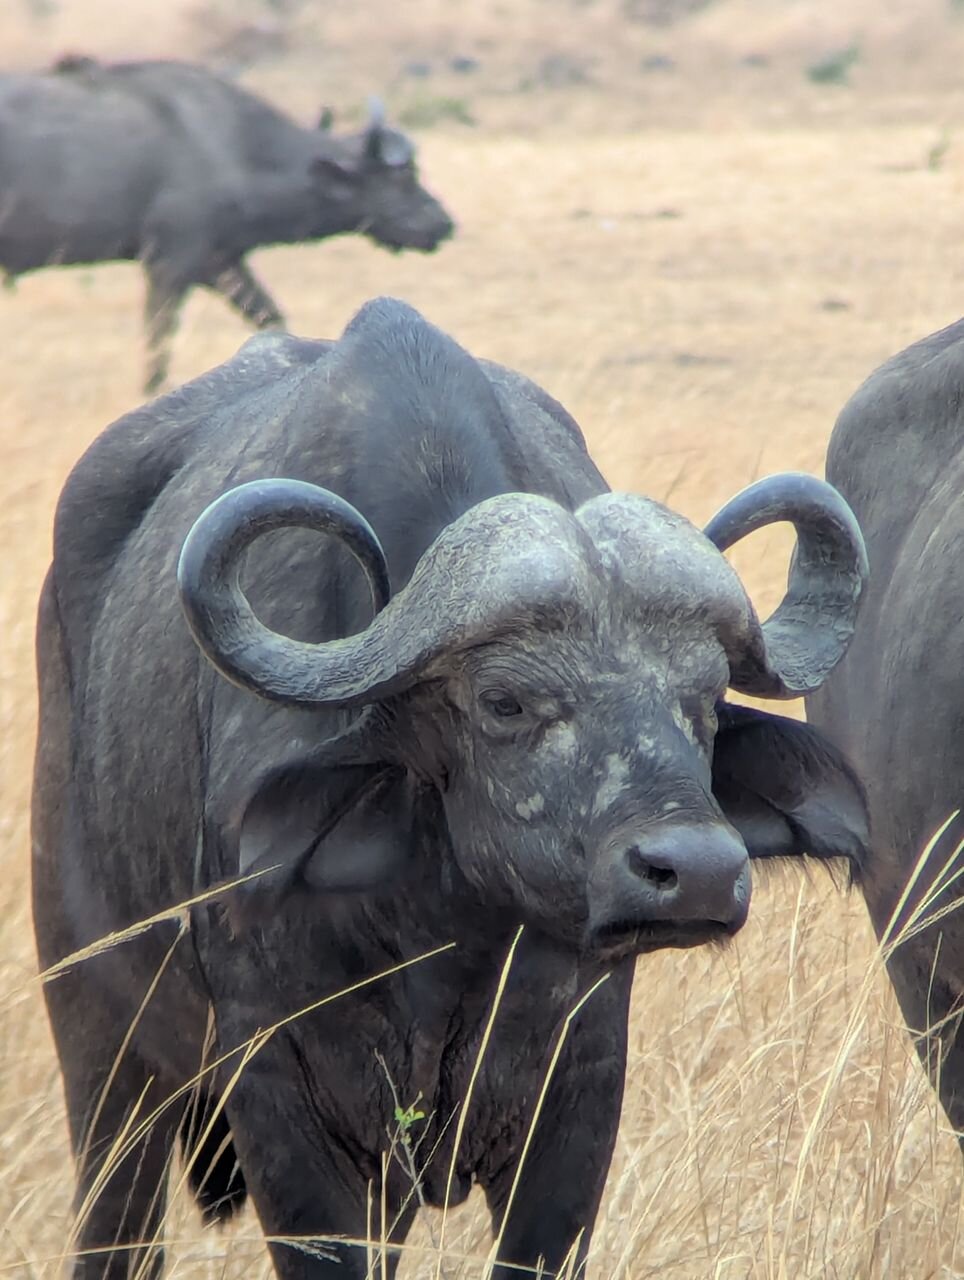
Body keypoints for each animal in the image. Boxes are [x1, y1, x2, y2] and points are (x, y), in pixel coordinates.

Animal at [0, 59, 453, 392]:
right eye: (402, 177)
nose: (444, 223)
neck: (235, 146)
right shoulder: (170, 262)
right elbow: (158, 337)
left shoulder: (220, 263)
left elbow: (270, 317)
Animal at [33, 297, 869, 1279]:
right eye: (505, 701)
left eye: (703, 699)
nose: (696, 872)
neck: (450, 932)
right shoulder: (280, 1095)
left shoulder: (581, 1087)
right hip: (99, 1050)